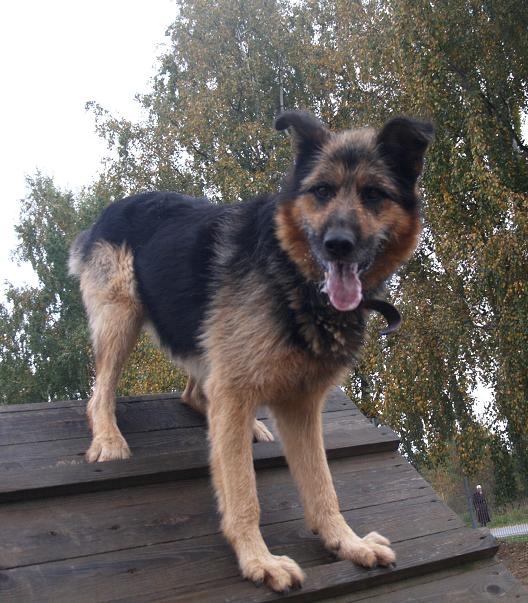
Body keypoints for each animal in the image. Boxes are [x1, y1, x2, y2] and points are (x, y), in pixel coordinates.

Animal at [69, 110, 433, 592]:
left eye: (374, 194)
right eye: (321, 191)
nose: (338, 244)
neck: (293, 274)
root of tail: (110, 209)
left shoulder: (300, 407)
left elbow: (323, 486)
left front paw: (346, 543)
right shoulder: (240, 391)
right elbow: (243, 492)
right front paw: (258, 560)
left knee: (195, 395)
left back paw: (246, 426)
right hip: (121, 318)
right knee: (99, 394)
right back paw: (109, 438)